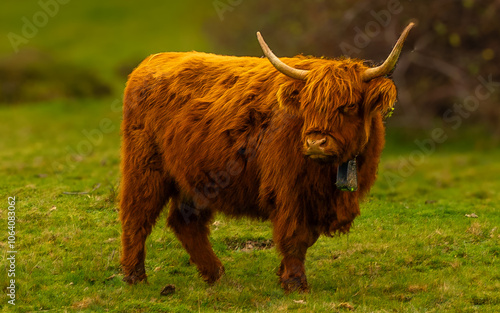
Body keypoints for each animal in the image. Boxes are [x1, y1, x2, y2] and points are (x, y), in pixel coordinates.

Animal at [120, 23, 414, 292]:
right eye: (307, 105)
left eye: (349, 106)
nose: (315, 143)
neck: (330, 172)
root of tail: (151, 61)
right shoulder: (288, 189)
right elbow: (295, 236)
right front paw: (295, 283)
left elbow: (307, 237)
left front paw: (283, 275)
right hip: (145, 167)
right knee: (136, 216)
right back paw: (135, 277)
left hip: (196, 175)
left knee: (185, 221)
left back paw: (216, 275)